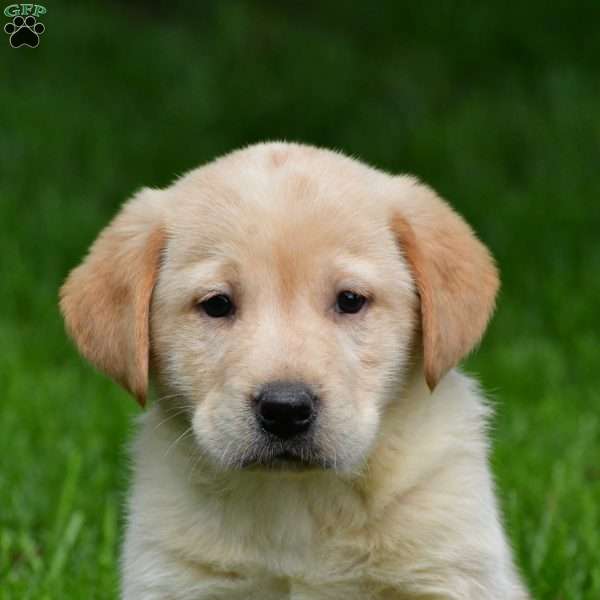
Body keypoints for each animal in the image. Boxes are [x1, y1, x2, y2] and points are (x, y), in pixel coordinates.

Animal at [61, 143, 528, 596]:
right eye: (217, 304)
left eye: (350, 300)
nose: (285, 409)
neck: (297, 501)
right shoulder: (176, 578)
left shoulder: (447, 570)